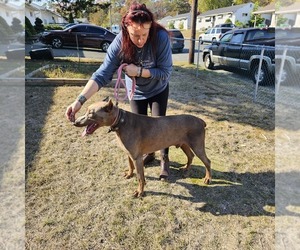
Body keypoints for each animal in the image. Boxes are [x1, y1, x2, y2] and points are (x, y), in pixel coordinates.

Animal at [74, 99, 212, 197]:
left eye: (91, 113)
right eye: (86, 111)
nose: (75, 122)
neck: (121, 121)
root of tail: (201, 121)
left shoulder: (137, 158)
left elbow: (141, 177)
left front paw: (139, 192)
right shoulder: (129, 153)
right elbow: (130, 166)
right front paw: (129, 174)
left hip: (197, 145)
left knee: (207, 161)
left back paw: (207, 179)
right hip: (184, 143)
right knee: (190, 155)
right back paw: (185, 168)